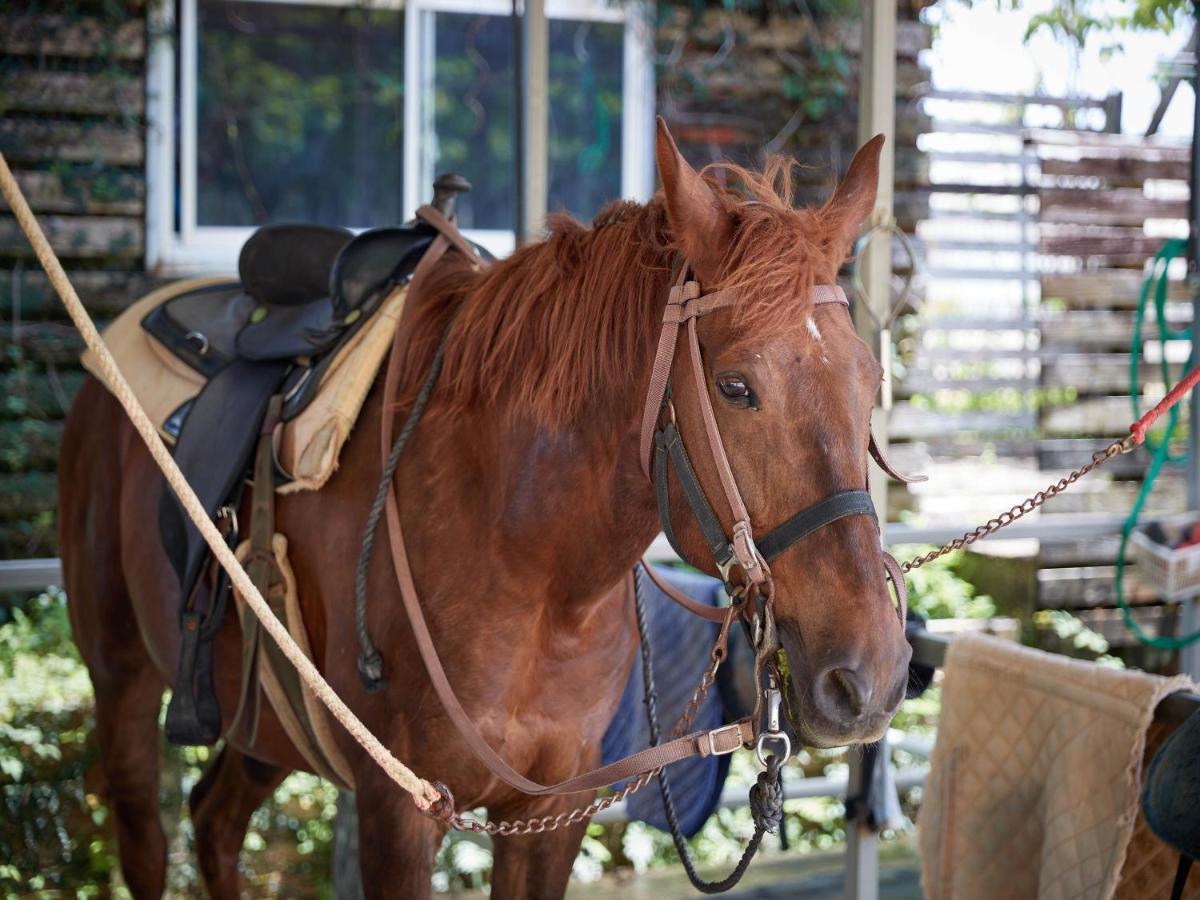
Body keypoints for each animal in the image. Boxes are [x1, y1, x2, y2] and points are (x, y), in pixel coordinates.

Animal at [56, 121, 912, 900]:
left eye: (871, 381)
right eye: (736, 387)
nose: (869, 676)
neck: (535, 569)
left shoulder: (553, 814)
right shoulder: (401, 811)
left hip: (263, 722)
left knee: (214, 821)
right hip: (121, 677)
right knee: (147, 838)